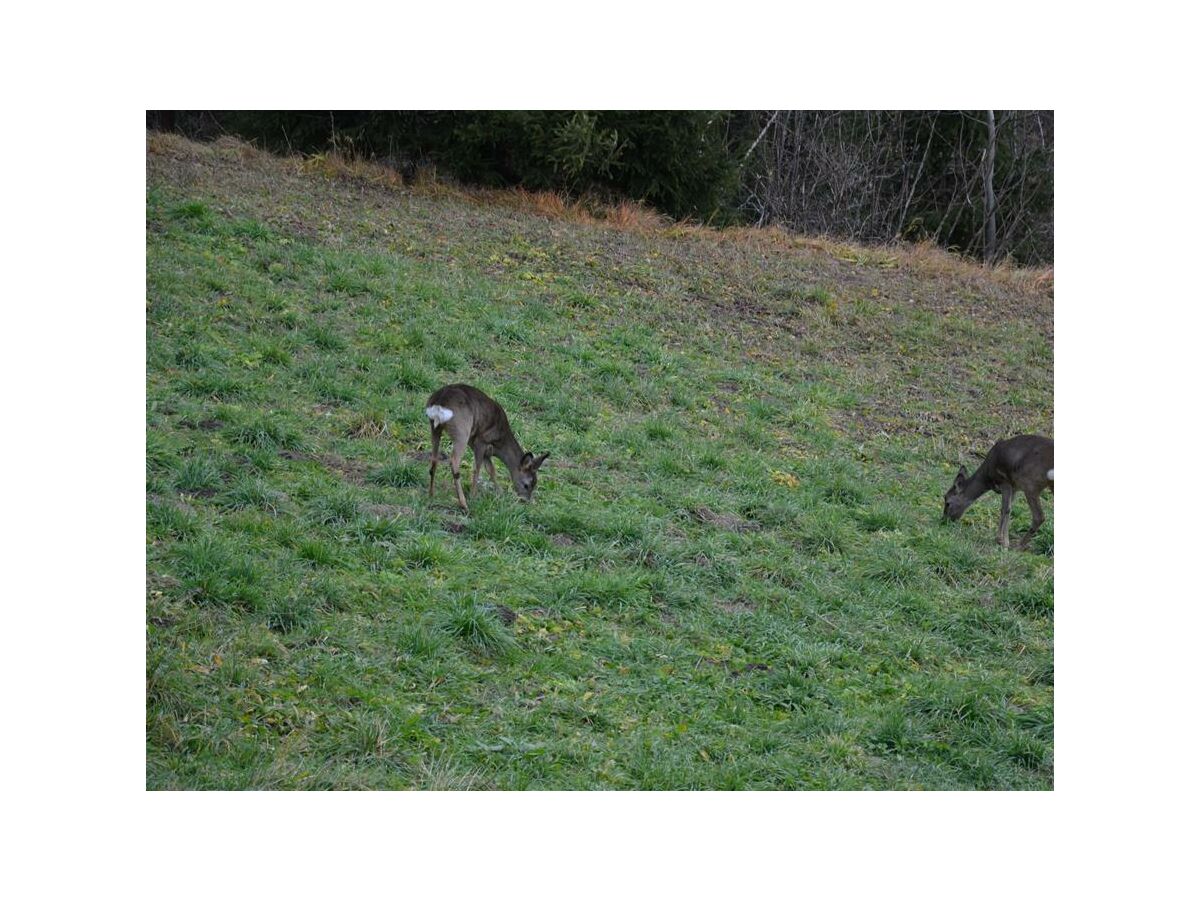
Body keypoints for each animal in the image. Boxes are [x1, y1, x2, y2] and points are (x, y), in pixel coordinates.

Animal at [424, 384, 549, 513]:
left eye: (535, 484)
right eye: (526, 485)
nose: (526, 500)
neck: (500, 442)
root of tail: (439, 403)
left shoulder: (484, 451)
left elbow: (491, 470)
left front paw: (500, 494)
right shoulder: (481, 441)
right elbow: (477, 469)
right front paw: (473, 496)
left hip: (435, 427)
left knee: (434, 459)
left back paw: (431, 494)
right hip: (462, 431)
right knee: (454, 461)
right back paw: (464, 504)